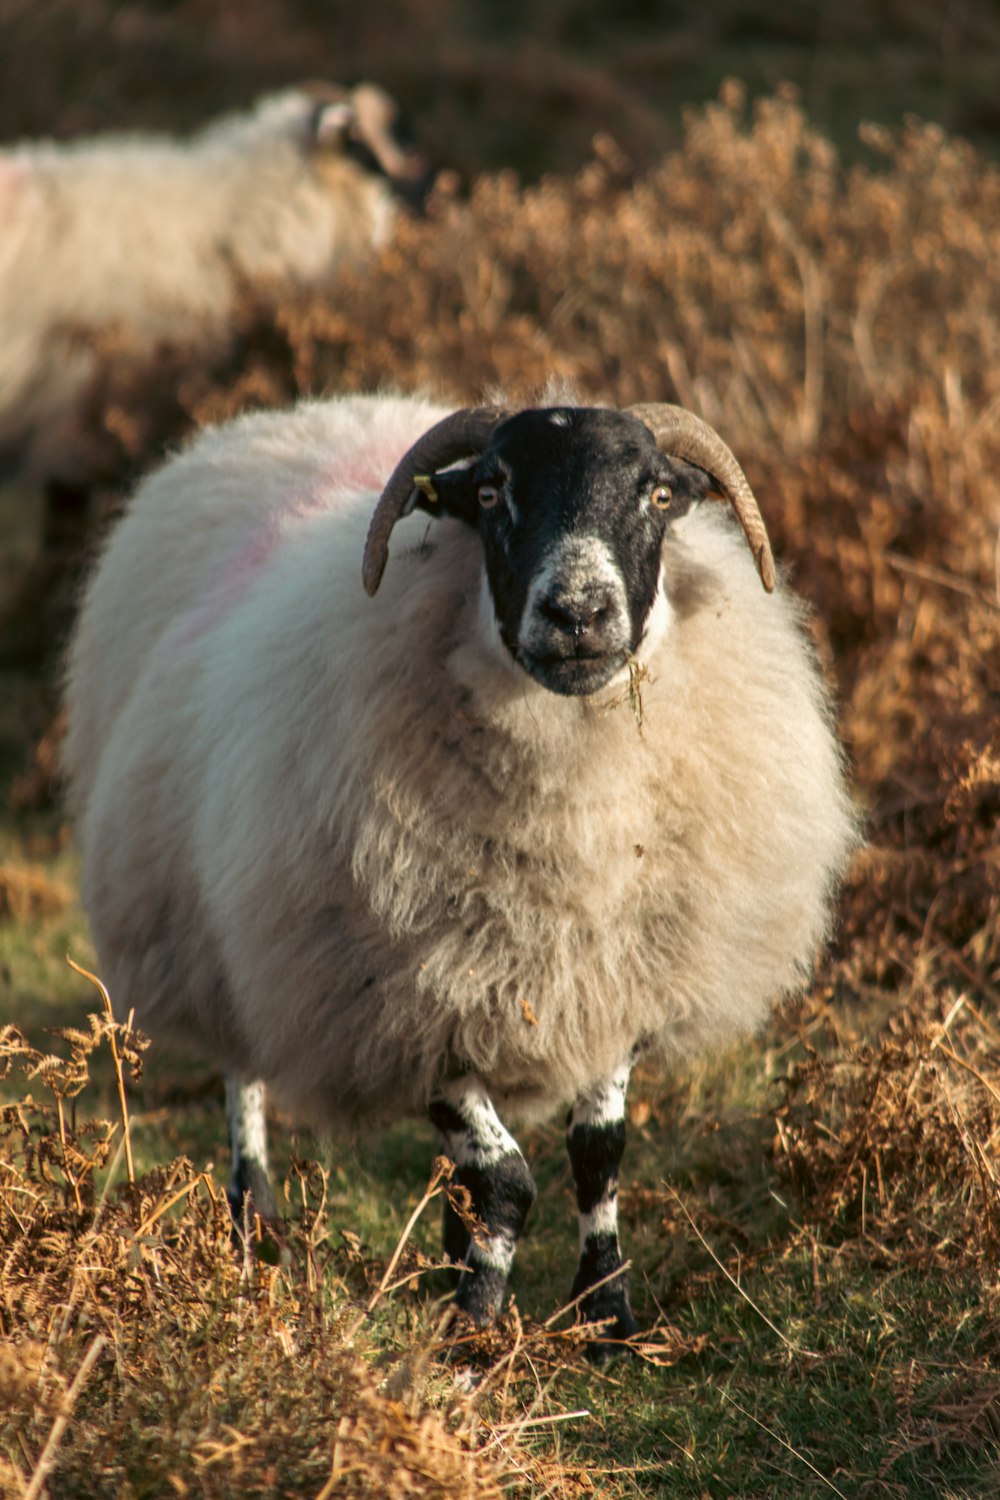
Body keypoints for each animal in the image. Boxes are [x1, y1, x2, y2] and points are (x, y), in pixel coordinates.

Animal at [62, 390, 863, 1362]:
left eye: (660, 493)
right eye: (490, 491)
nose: (579, 612)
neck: (574, 816)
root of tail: (305, 412)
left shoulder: (616, 979)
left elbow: (596, 1155)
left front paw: (606, 1315)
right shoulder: (403, 997)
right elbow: (506, 1178)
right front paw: (476, 1327)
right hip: (228, 932)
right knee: (242, 1077)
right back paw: (258, 1230)